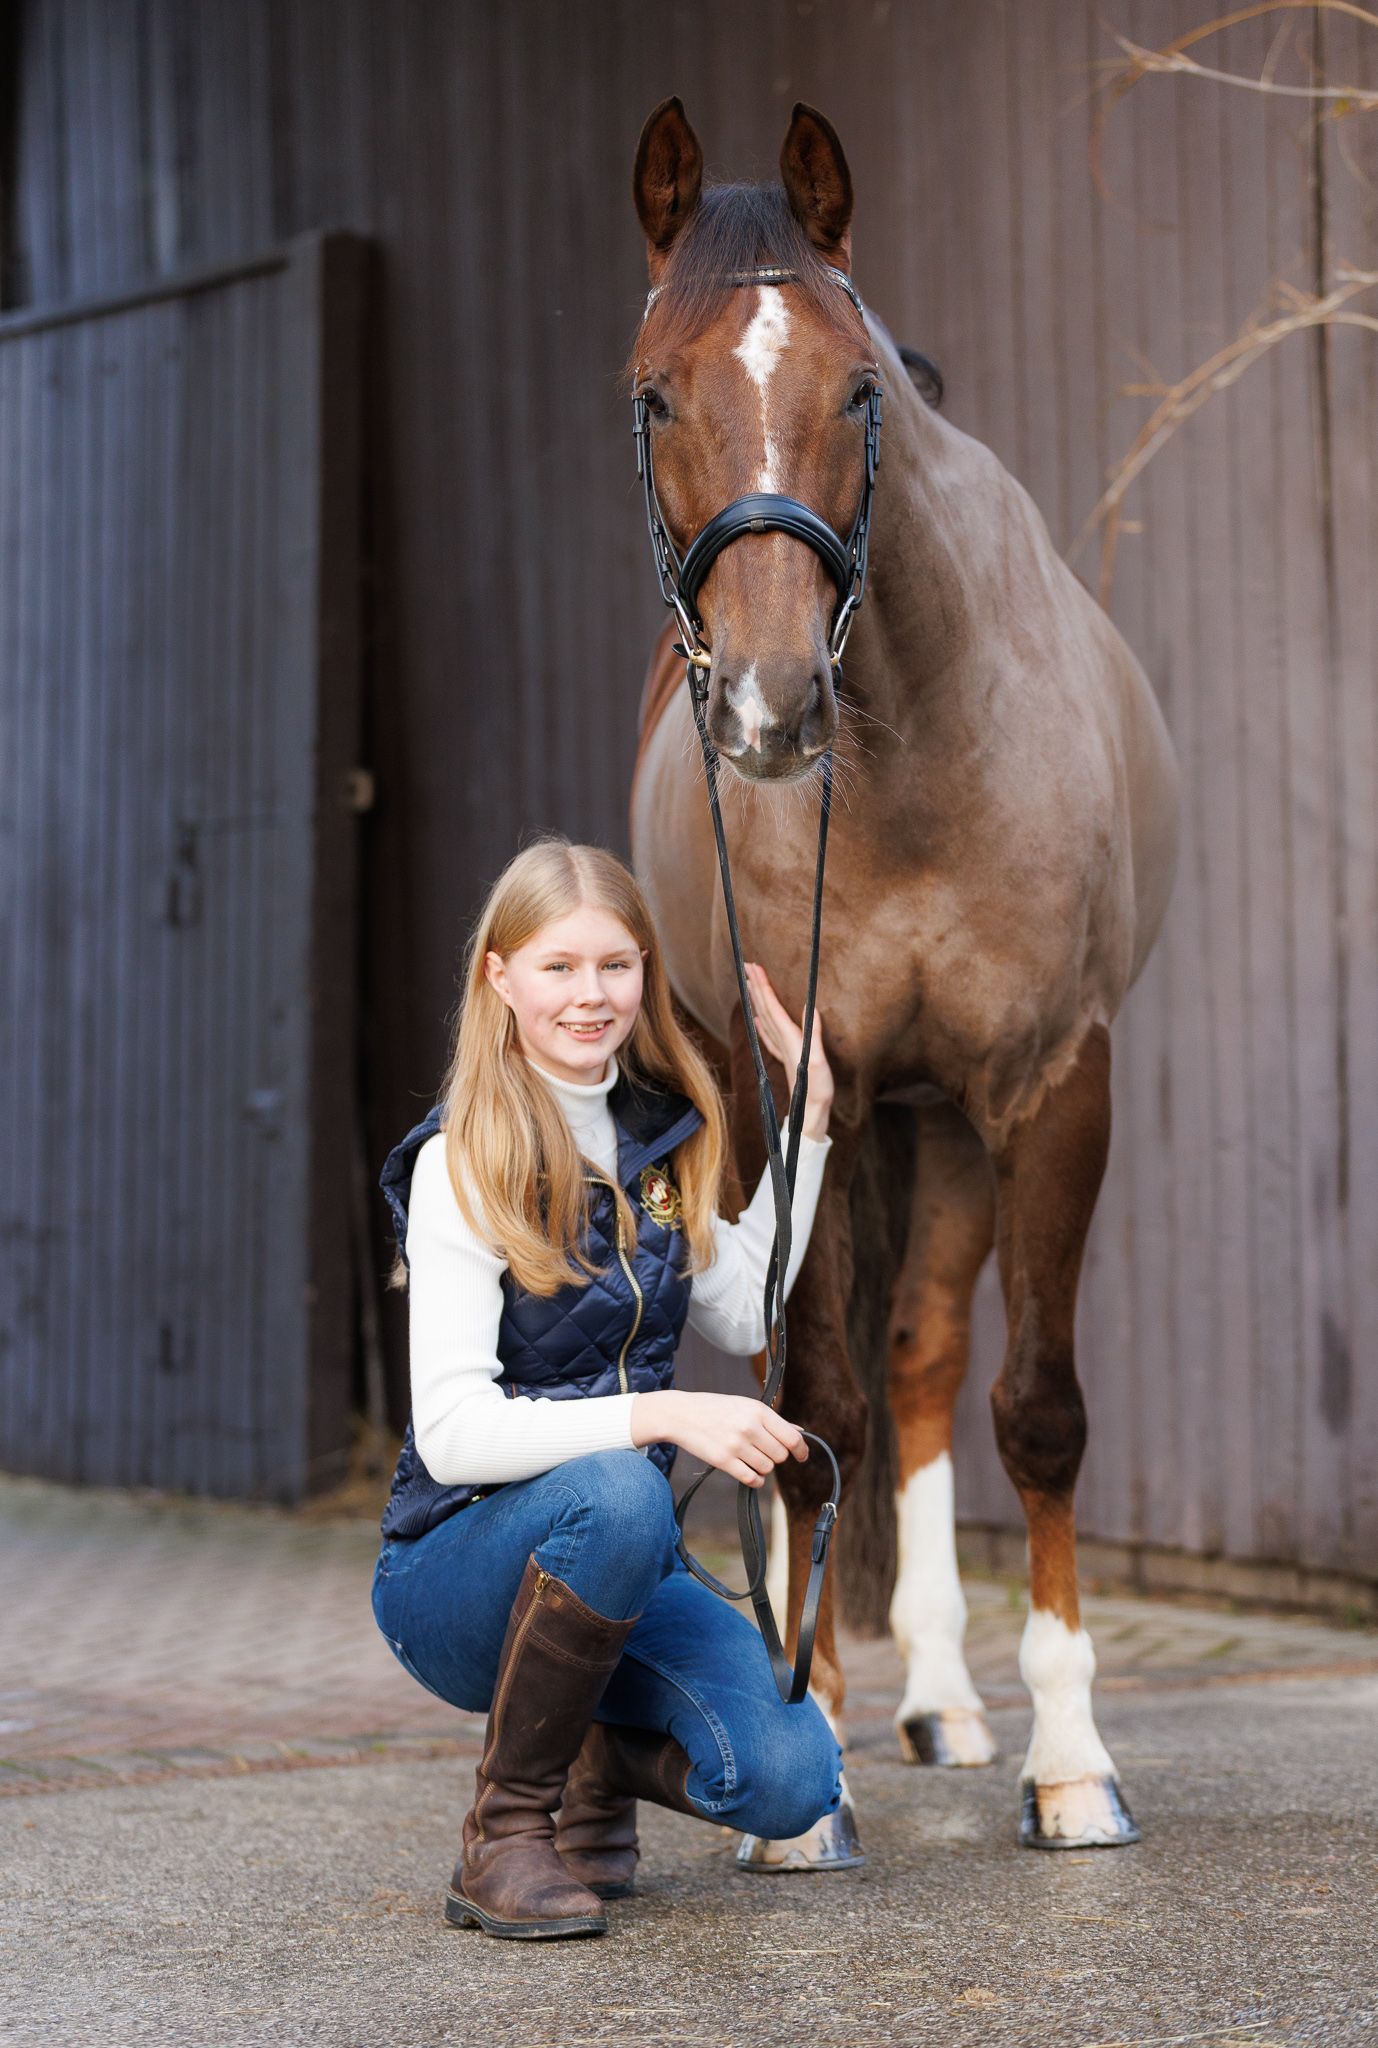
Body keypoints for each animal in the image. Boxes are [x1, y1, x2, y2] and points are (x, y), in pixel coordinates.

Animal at [627, 97, 1180, 1866]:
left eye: (857, 389)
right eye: (651, 391)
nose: (769, 706)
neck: (922, 746)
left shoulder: (1050, 1086)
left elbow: (1036, 1409)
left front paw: (1068, 1761)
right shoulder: (796, 1083)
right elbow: (811, 1403)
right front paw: (805, 1771)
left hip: (940, 1126)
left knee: (931, 1356)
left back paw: (943, 1695)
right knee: (822, 1383)